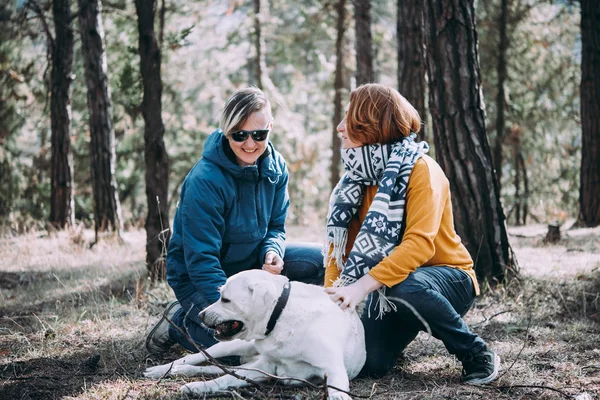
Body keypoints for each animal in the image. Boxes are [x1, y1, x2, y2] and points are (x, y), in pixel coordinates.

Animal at [145, 268, 366, 400]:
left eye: (225, 299)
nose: (200, 314)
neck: (282, 316)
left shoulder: (334, 371)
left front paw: (196, 387)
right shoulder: (266, 367)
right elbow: (224, 379)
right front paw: (198, 387)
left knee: (219, 368)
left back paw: (181, 372)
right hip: (234, 345)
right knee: (198, 357)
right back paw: (163, 369)